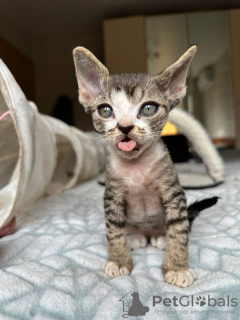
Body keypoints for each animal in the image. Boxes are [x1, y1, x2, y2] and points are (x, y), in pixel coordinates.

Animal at [72, 45, 218, 288]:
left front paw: (177, 267)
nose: (124, 127)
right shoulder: (112, 197)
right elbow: (113, 231)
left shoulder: (174, 194)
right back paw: (135, 237)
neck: (136, 167)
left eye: (148, 108)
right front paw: (119, 259)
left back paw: (160, 237)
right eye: (105, 110)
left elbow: (180, 231)